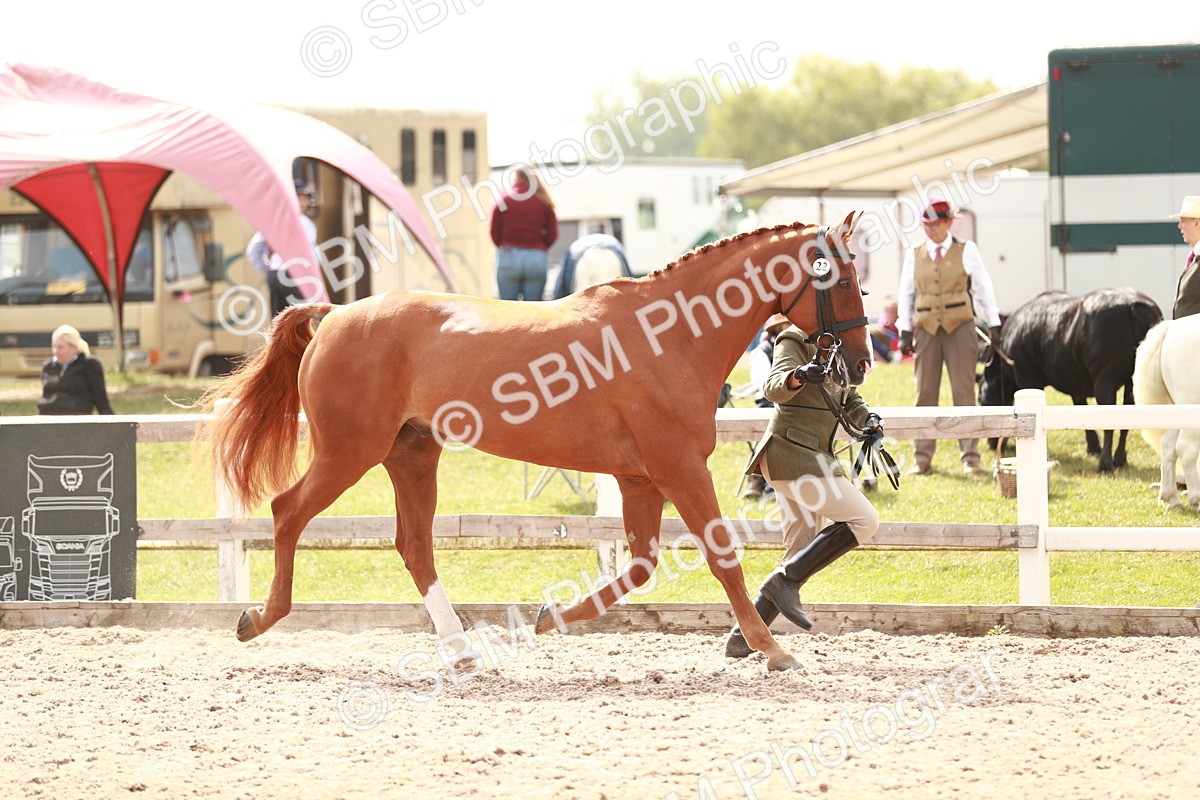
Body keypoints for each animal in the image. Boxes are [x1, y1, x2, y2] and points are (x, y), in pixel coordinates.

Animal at [199, 214, 874, 672]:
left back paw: (462, 649)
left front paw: (548, 620)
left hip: (411, 454)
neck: (671, 335)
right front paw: (772, 651)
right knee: (288, 512)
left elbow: (637, 567)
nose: (861, 362)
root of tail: (334, 316)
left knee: (413, 545)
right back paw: (257, 620)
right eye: (842, 279)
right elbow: (721, 558)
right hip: (348, 453)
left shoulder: (640, 478)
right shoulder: (679, 468)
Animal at [978, 288, 1163, 471]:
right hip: (1133, 383)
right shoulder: (1075, 383)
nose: (991, 444)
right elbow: (1080, 408)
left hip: (1104, 382)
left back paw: (1105, 463)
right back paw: (1119, 458)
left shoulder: (1027, 379)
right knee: (1128, 417)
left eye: (981, 399)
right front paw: (1093, 447)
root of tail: (1132, 303)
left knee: (1110, 420)